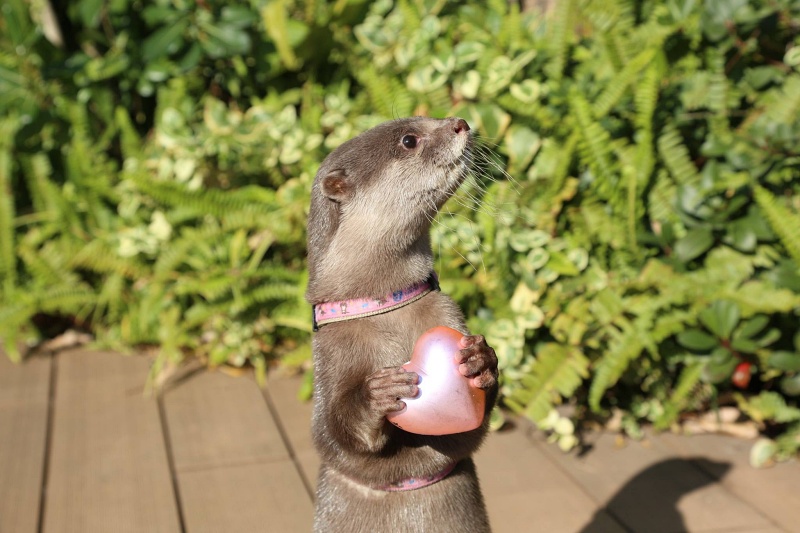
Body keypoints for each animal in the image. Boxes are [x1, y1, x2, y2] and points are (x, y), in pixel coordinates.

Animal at [308, 117, 500, 532]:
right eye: (409, 140)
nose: (460, 122)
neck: (385, 306)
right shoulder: (329, 355)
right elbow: (330, 430)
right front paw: (377, 393)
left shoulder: (449, 315)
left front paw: (481, 360)